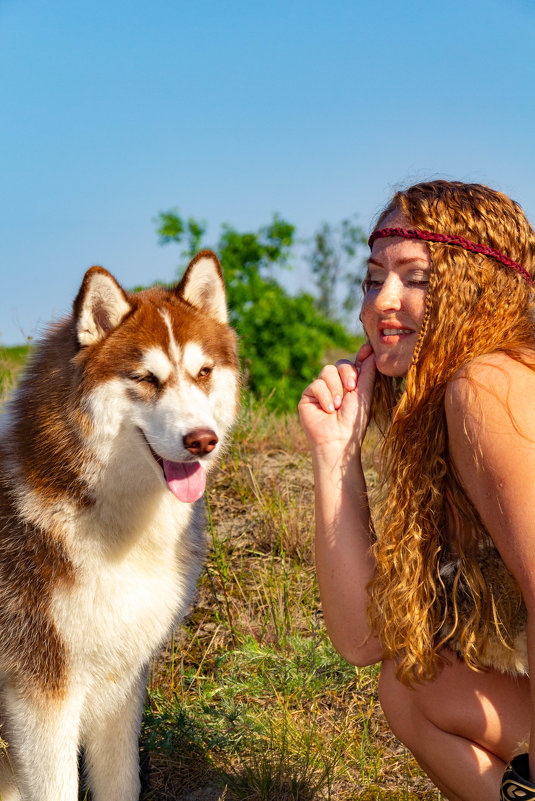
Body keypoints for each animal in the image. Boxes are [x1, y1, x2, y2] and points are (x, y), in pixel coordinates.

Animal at [0, 252, 239, 800]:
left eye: (203, 372)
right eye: (147, 379)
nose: (203, 440)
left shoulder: (122, 681)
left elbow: (121, 780)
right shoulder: (39, 694)